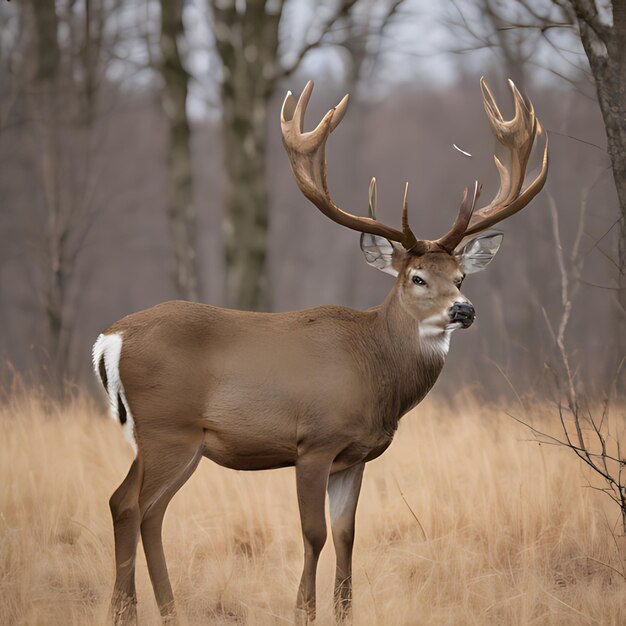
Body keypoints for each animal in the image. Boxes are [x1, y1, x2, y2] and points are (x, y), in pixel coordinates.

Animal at [92, 78, 544, 624]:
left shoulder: (357, 455)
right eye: (416, 277)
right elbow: (314, 534)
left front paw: (345, 610)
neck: (373, 367)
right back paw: (137, 610)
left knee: (138, 507)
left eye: (460, 277)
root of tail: (110, 338)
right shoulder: (314, 442)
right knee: (133, 506)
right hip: (166, 428)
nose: (464, 310)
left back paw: (155, 609)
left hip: (175, 439)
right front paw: (303, 611)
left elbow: (347, 535)